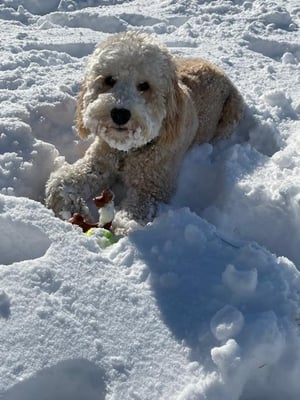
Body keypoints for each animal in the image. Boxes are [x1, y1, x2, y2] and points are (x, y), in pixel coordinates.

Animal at [45, 31, 245, 228]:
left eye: (144, 86)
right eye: (109, 80)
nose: (120, 114)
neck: (127, 151)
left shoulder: (152, 185)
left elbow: (134, 215)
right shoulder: (98, 163)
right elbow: (61, 182)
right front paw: (72, 207)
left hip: (231, 112)